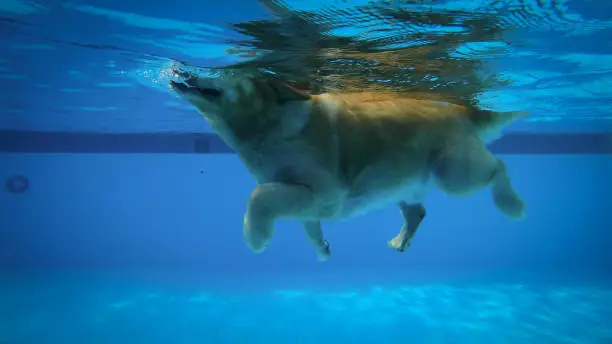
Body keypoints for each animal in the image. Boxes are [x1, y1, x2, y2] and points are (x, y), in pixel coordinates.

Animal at [171, 71, 524, 262]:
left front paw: (256, 237)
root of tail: (461, 110)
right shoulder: (308, 201)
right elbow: (306, 224)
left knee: (499, 166)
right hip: (403, 181)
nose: (180, 71)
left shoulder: (325, 193)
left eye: (224, 70)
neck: (263, 125)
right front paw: (322, 249)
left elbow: (259, 196)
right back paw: (400, 240)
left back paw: (512, 204)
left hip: (455, 173)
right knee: (417, 211)